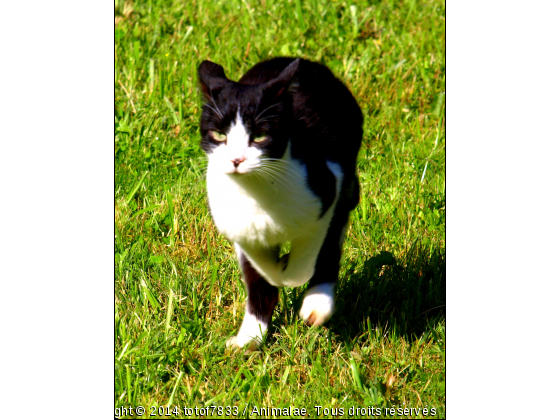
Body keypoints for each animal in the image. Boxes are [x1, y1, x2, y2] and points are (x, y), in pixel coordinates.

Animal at [198, 56, 364, 352]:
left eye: (259, 137)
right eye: (218, 134)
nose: (236, 160)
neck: (254, 192)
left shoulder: (327, 189)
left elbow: (308, 255)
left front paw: (292, 276)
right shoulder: (239, 229)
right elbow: (258, 271)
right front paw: (252, 335)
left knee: (333, 239)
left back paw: (318, 303)